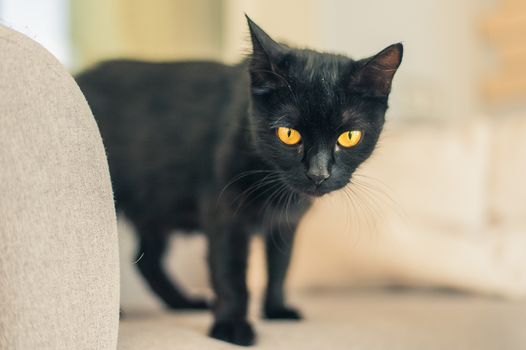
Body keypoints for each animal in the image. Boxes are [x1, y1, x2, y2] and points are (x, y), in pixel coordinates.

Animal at [75, 15, 404, 344]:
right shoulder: (225, 213)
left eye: (349, 137)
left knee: (147, 260)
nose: (318, 174)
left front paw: (276, 309)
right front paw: (231, 326)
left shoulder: (286, 222)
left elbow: (281, 265)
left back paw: (183, 302)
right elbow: (231, 274)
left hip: (157, 207)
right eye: (288, 134)